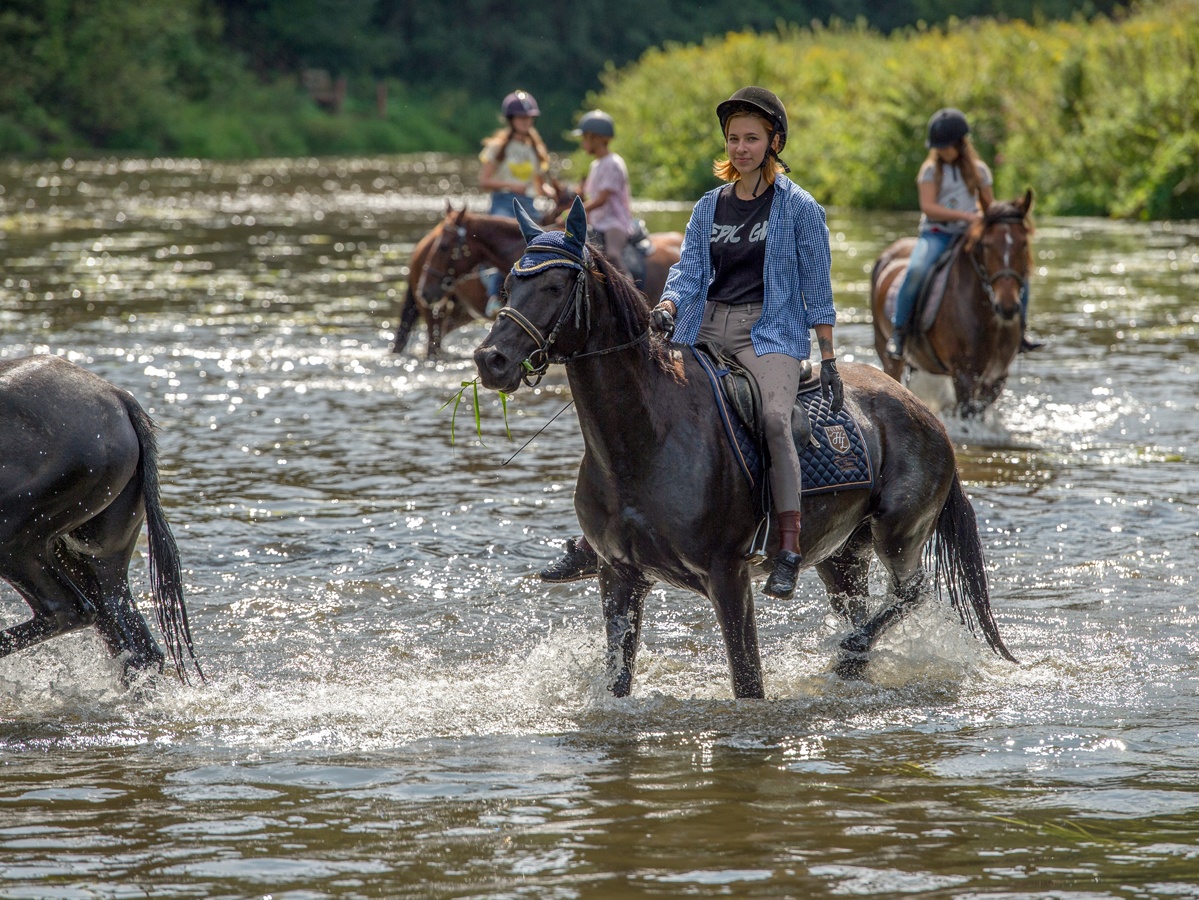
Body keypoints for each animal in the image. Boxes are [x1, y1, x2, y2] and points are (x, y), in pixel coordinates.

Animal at [872, 191, 1031, 417]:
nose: (1007, 306)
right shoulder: (964, 374)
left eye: (1024, 243)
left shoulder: (997, 377)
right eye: (986, 244)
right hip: (887, 351)